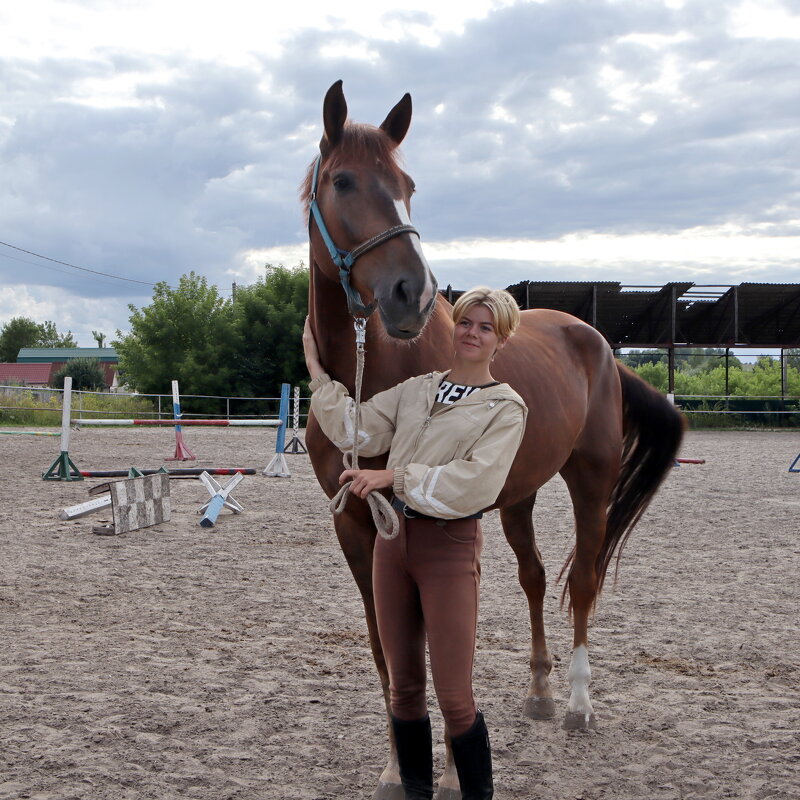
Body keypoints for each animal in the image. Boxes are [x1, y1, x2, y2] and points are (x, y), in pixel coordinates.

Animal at [304, 81, 684, 800]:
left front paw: (452, 772)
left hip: (591, 481)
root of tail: (597, 343)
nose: (412, 294)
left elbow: (446, 645)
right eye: (342, 180)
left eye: (408, 185)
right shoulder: (355, 526)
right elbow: (387, 645)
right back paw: (539, 693)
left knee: (582, 580)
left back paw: (578, 704)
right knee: (535, 577)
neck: (372, 375)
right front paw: (396, 767)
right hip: (517, 496)